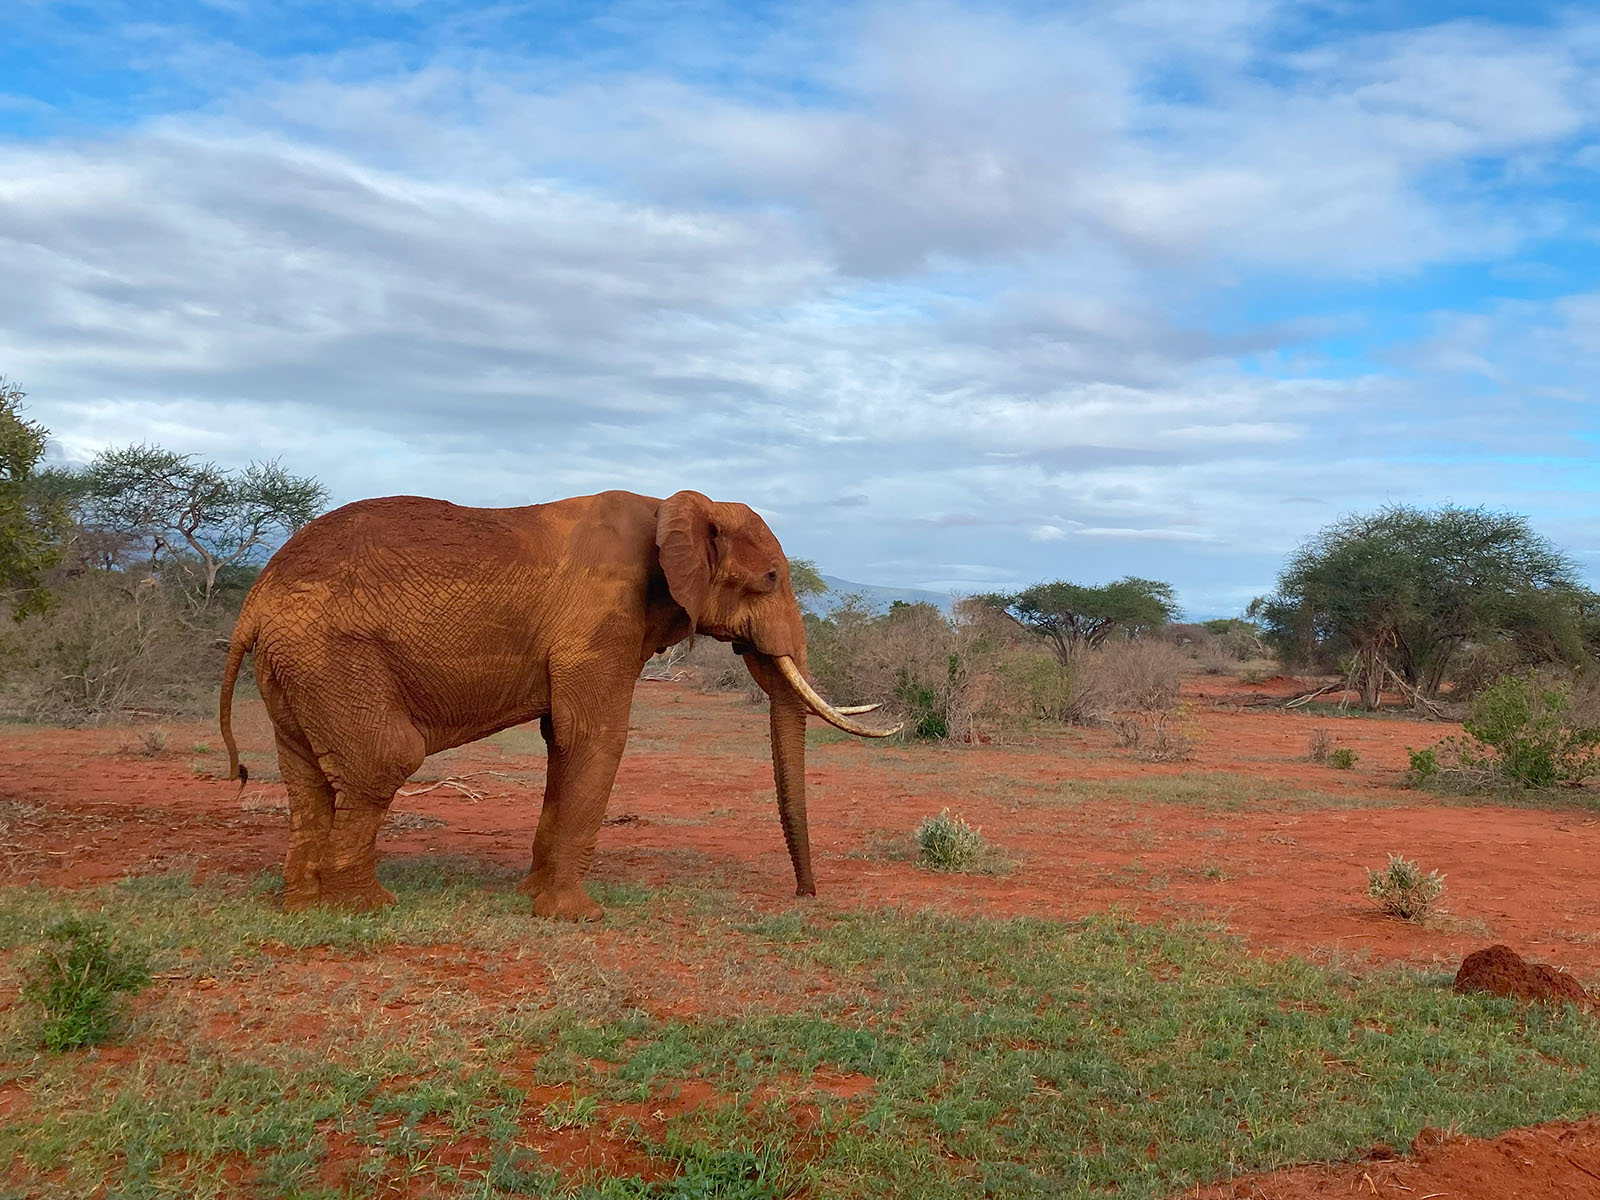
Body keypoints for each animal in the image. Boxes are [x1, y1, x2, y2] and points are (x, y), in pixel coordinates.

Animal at [220, 489, 902, 921]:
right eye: (770, 580)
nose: (805, 897)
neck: (674, 506)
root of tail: (254, 599)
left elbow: (561, 739)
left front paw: (532, 896)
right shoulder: (601, 616)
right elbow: (596, 736)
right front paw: (579, 917)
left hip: (295, 669)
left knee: (304, 775)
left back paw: (302, 905)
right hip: (334, 657)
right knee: (383, 760)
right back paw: (364, 907)